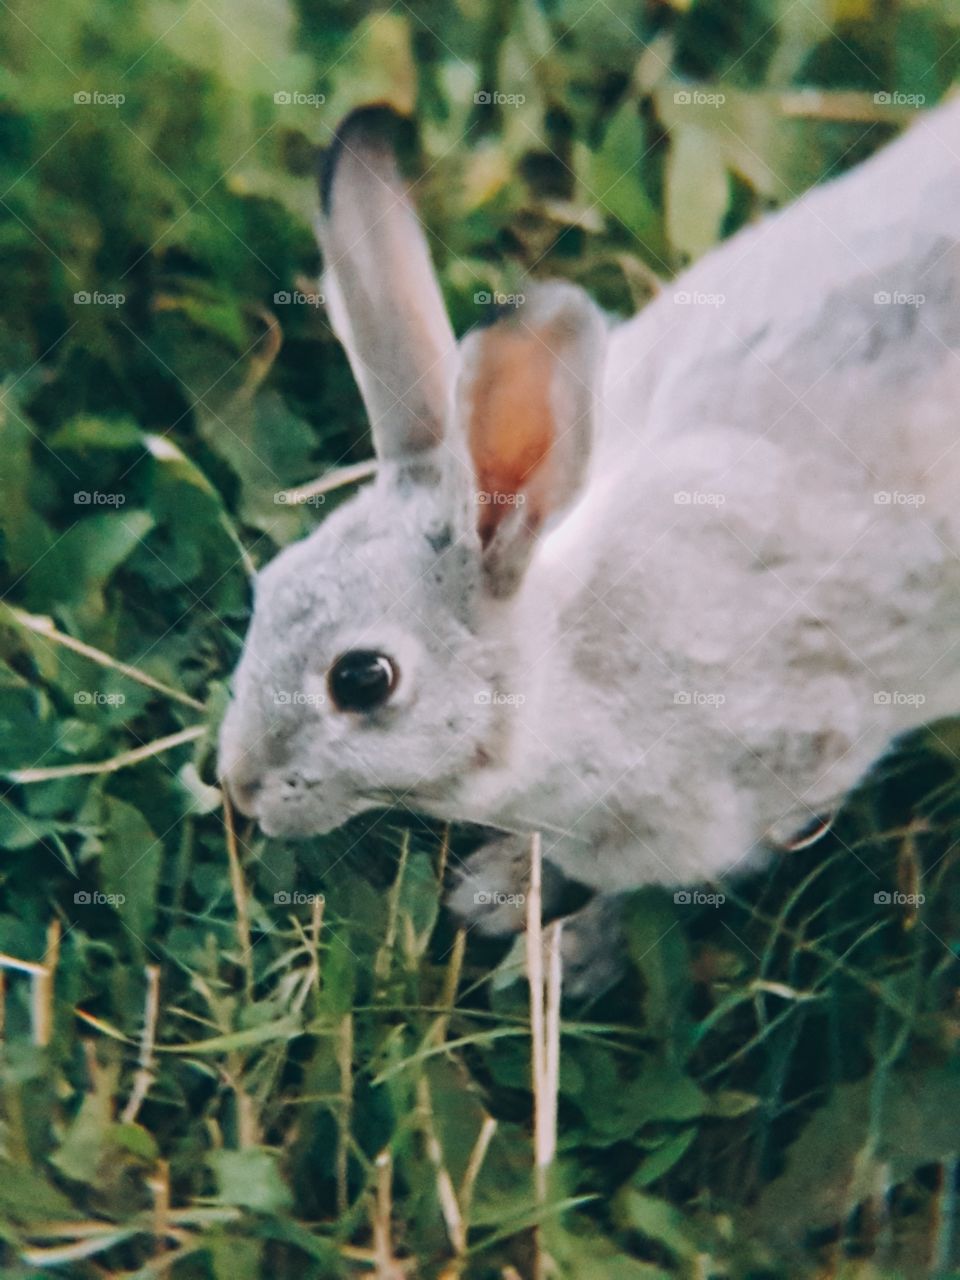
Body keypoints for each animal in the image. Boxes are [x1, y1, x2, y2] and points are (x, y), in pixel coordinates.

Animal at [219, 99, 960, 957]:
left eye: (363, 679)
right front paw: (502, 888)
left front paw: (557, 946)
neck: (563, 667)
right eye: (268, 590)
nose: (239, 784)